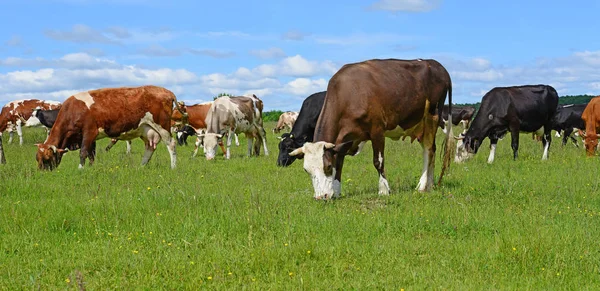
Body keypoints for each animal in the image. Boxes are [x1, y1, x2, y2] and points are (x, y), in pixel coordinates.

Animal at [35, 85, 185, 170]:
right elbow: (91, 154)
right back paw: (141, 167)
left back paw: (173, 167)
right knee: (150, 147)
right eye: (37, 158)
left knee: (171, 144)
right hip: (146, 129)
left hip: (162, 127)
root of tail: (166, 91)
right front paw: (91, 168)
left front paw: (80, 168)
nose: (42, 172)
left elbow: (83, 152)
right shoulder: (90, 138)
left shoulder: (89, 131)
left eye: (47, 158)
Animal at [288, 59, 452, 201]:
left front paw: (384, 190)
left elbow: (378, 161)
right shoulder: (344, 139)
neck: (349, 94)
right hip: (421, 124)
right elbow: (339, 164)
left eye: (327, 166)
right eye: (306, 170)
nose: (321, 197)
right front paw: (337, 191)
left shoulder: (377, 130)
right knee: (430, 149)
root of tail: (436, 65)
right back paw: (429, 184)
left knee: (429, 150)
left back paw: (422, 186)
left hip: (432, 116)